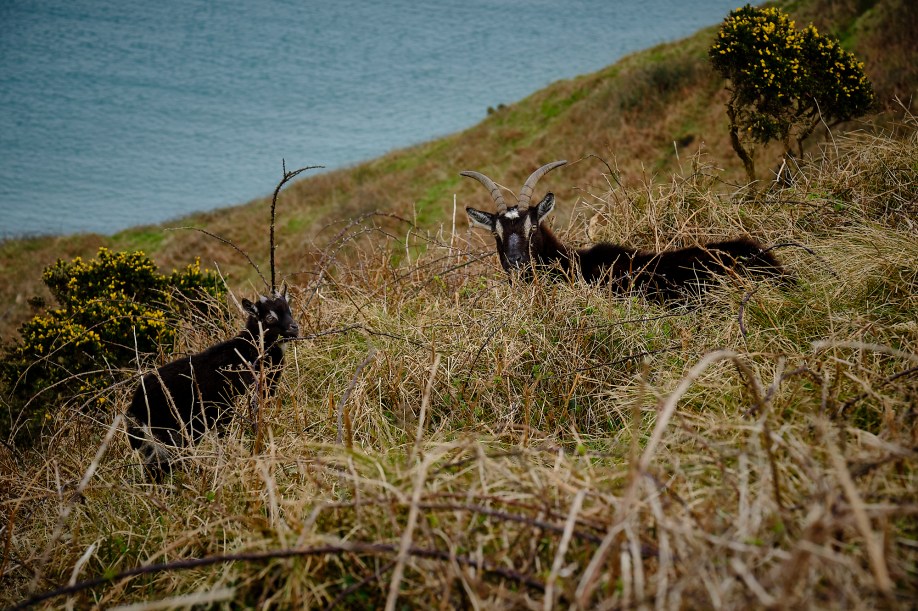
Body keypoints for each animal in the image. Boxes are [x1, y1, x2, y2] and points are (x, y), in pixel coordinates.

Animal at [127, 287, 299, 478]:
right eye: (270, 317)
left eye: (289, 311)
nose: (295, 328)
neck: (252, 350)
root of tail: (136, 405)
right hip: (170, 434)